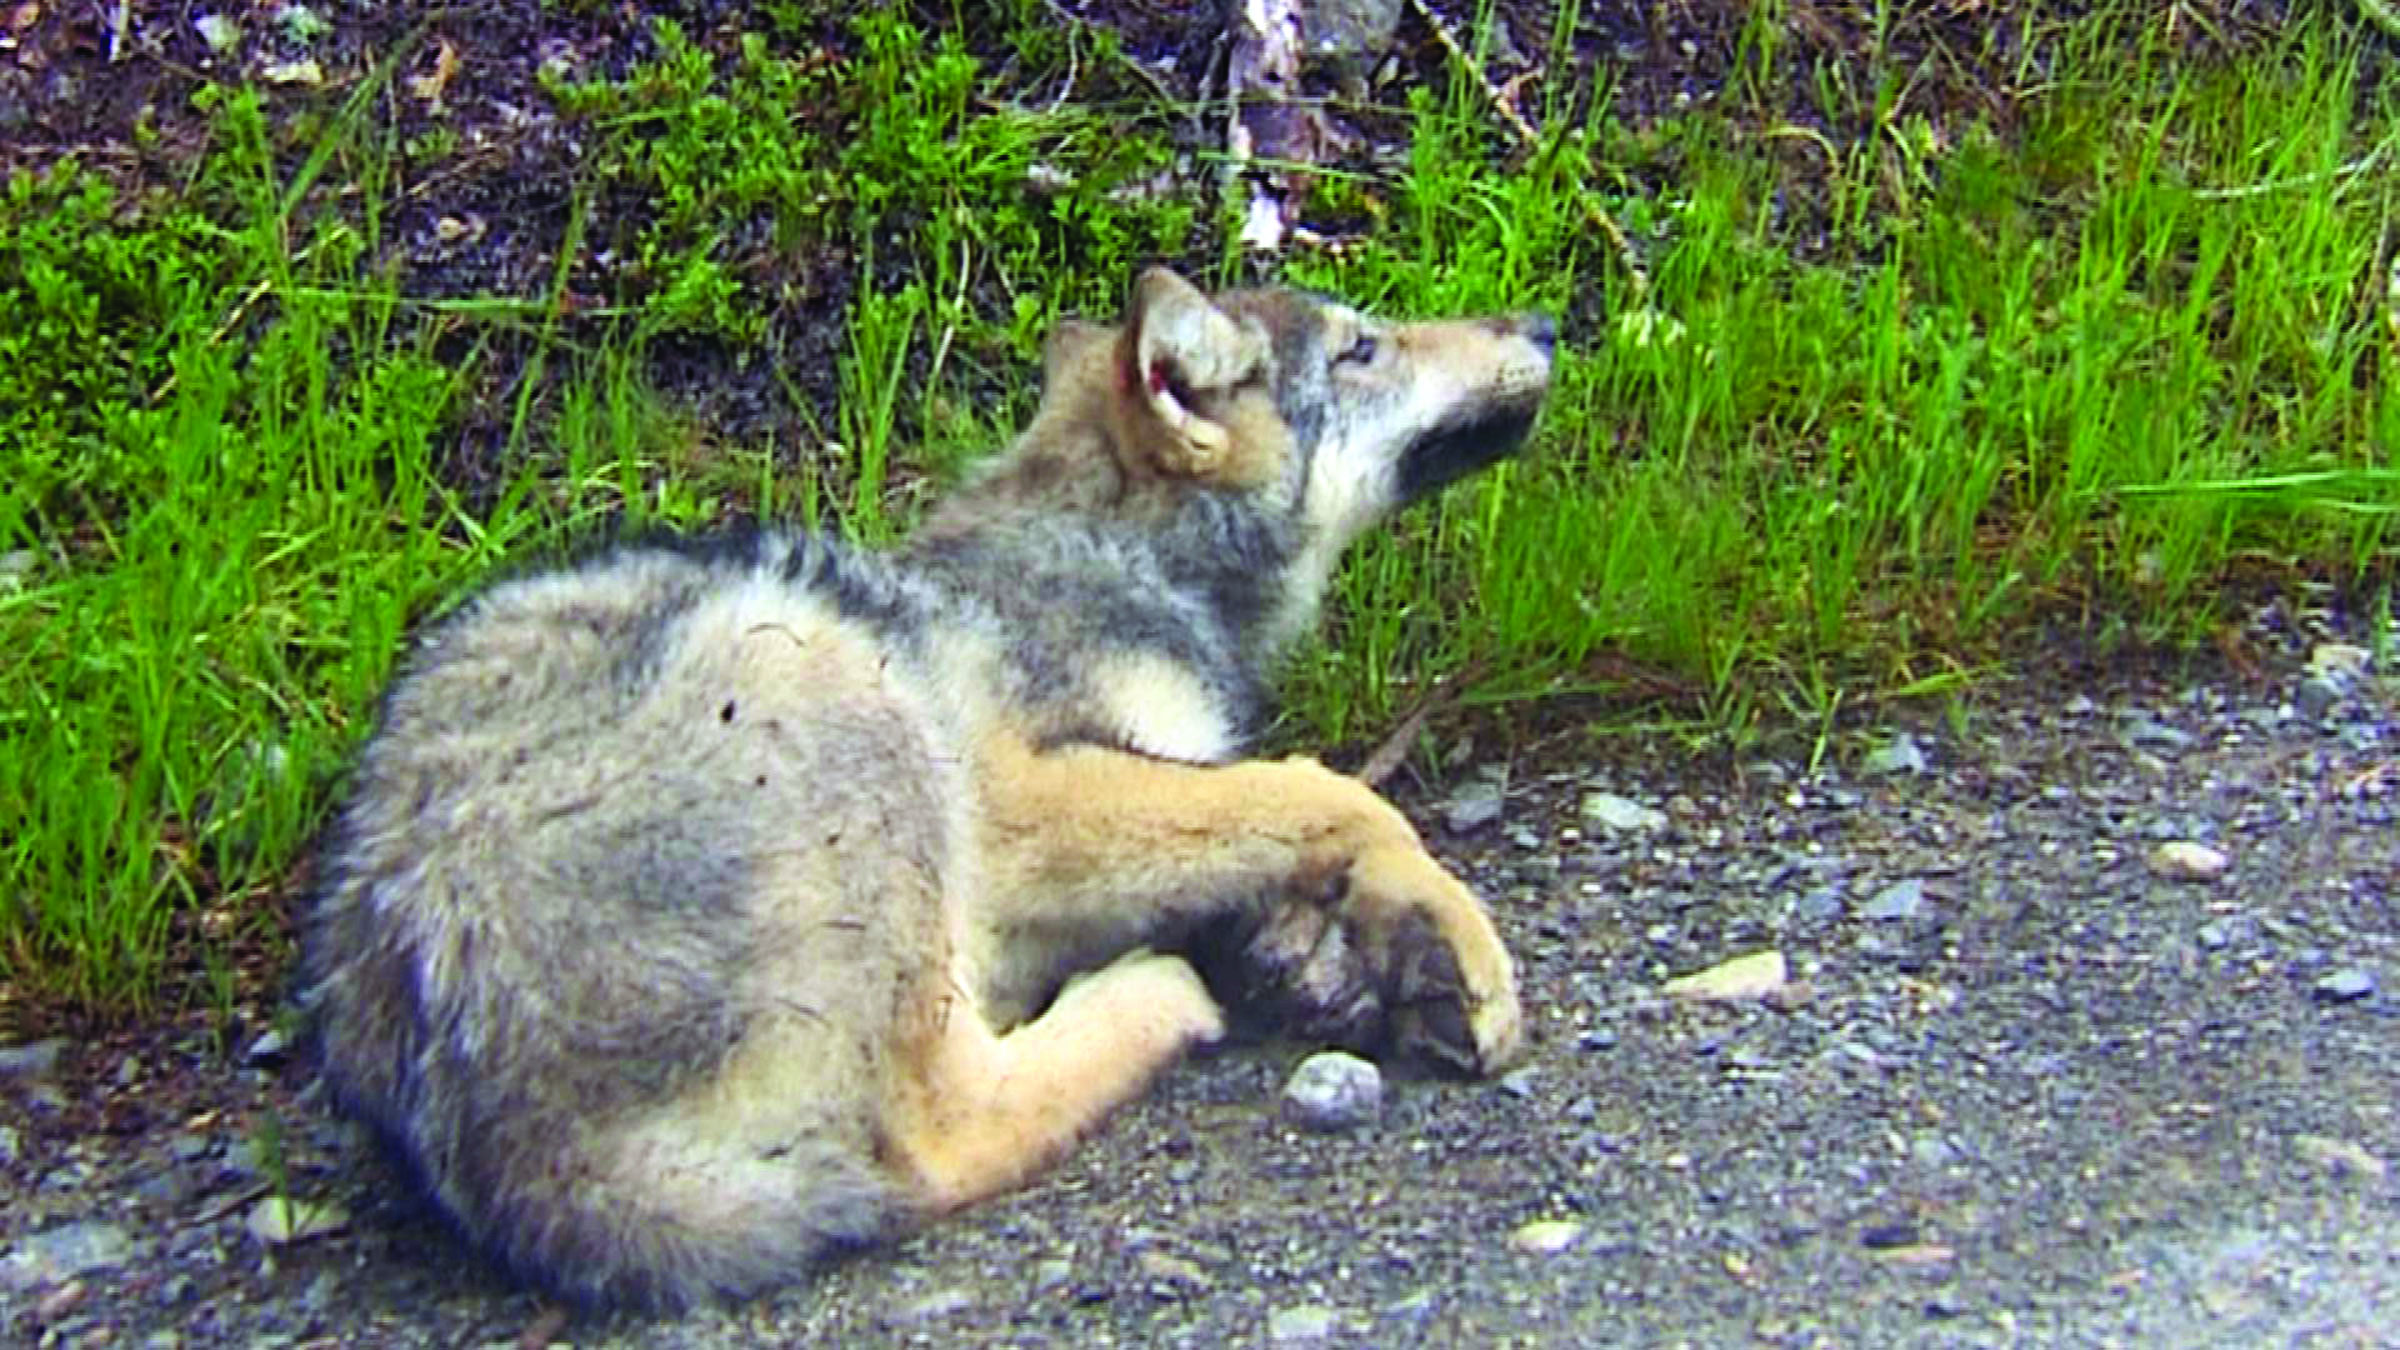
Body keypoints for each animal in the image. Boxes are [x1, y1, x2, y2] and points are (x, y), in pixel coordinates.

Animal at [301, 267, 1556, 1310]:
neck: (1119, 558)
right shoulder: (1033, 809)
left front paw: (1353, 962)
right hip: (832, 680)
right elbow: (1336, 795)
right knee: (935, 1135)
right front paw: (1462, 954)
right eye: (1363, 348)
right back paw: (1150, 998)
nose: (1544, 324)